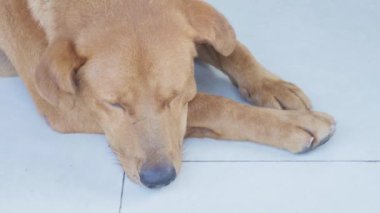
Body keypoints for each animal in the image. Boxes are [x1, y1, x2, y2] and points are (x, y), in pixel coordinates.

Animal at [0, 0, 334, 188]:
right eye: (114, 105)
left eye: (174, 96)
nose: (158, 179)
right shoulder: (66, 109)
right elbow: (215, 105)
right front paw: (292, 124)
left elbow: (233, 49)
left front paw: (272, 86)